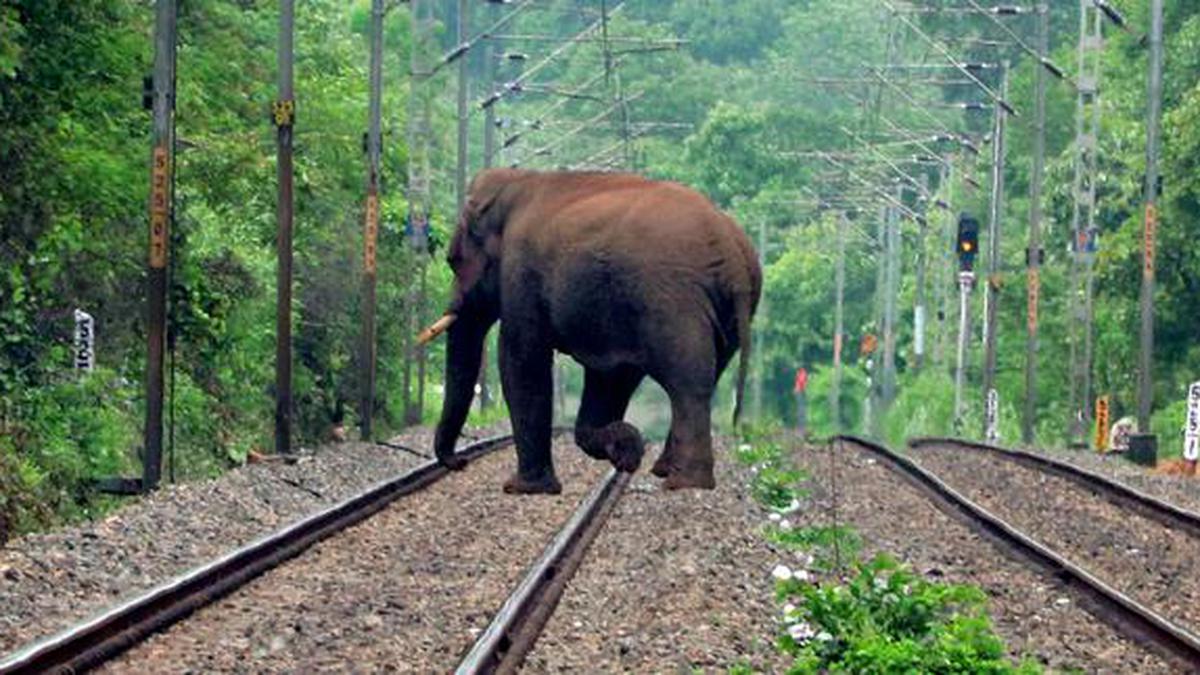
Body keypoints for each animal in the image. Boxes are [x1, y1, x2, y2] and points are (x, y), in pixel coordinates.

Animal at [424, 168, 758, 494]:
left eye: (453, 262)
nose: (460, 462)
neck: (517, 181)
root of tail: (734, 256)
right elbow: (610, 376)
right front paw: (625, 447)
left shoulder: (521, 271)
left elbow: (521, 358)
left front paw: (522, 488)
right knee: (704, 380)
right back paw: (664, 470)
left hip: (674, 303)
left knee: (688, 384)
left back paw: (683, 482)